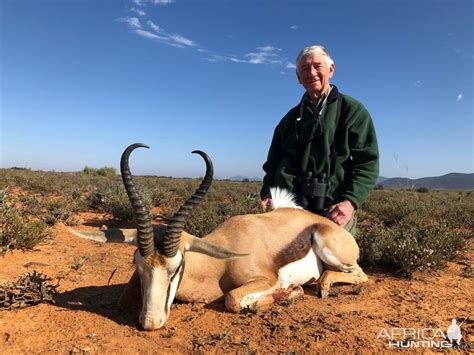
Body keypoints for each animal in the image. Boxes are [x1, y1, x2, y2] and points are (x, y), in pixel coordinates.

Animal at [71, 144, 366, 330]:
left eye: (176, 267)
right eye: (138, 267)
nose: (150, 323)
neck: (217, 265)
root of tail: (325, 224)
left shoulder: (265, 279)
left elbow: (233, 300)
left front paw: (290, 292)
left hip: (332, 252)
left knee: (358, 275)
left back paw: (322, 286)